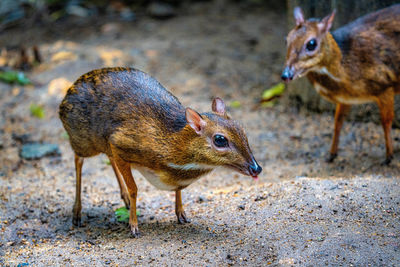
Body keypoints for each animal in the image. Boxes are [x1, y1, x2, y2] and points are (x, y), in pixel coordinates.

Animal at [57, 68, 260, 238]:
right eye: (220, 139)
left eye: (242, 130)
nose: (256, 168)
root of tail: (66, 95)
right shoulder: (119, 143)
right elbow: (134, 189)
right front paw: (134, 226)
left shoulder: (115, 147)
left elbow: (178, 190)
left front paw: (181, 214)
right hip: (83, 140)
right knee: (78, 160)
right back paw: (77, 213)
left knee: (108, 159)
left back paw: (124, 201)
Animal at [282, 5, 400, 164]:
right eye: (287, 39)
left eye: (311, 44)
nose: (286, 75)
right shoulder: (346, 99)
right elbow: (338, 122)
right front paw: (331, 155)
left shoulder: (385, 86)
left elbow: (386, 121)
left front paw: (388, 157)